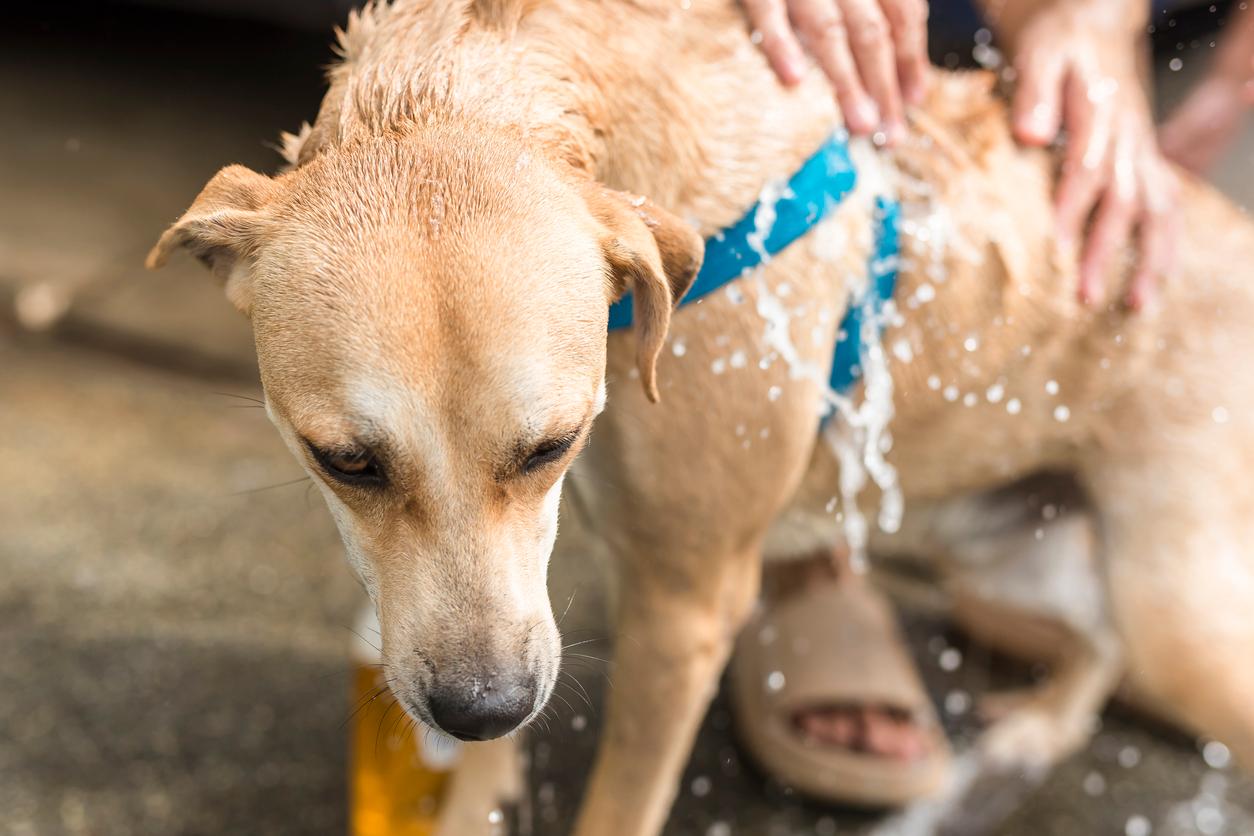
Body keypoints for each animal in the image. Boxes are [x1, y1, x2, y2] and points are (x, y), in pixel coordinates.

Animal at [151, 3, 1254, 832]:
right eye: (345, 461)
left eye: (553, 444)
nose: (480, 710)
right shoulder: (515, 605)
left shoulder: (683, 607)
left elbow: (617, 804)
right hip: (1005, 545)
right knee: (1097, 639)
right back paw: (1034, 730)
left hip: (1179, 613)